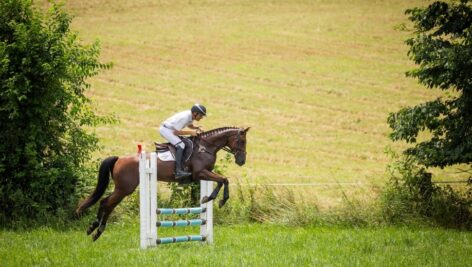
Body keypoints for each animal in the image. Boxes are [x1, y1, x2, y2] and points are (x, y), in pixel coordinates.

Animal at [75, 126, 249, 242]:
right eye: (241, 141)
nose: (242, 161)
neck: (205, 147)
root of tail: (119, 159)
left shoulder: (205, 174)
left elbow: (222, 180)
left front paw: (210, 199)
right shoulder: (200, 173)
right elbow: (224, 179)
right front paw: (217, 199)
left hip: (123, 189)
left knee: (108, 204)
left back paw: (96, 232)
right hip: (125, 188)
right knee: (106, 203)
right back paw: (94, 228)